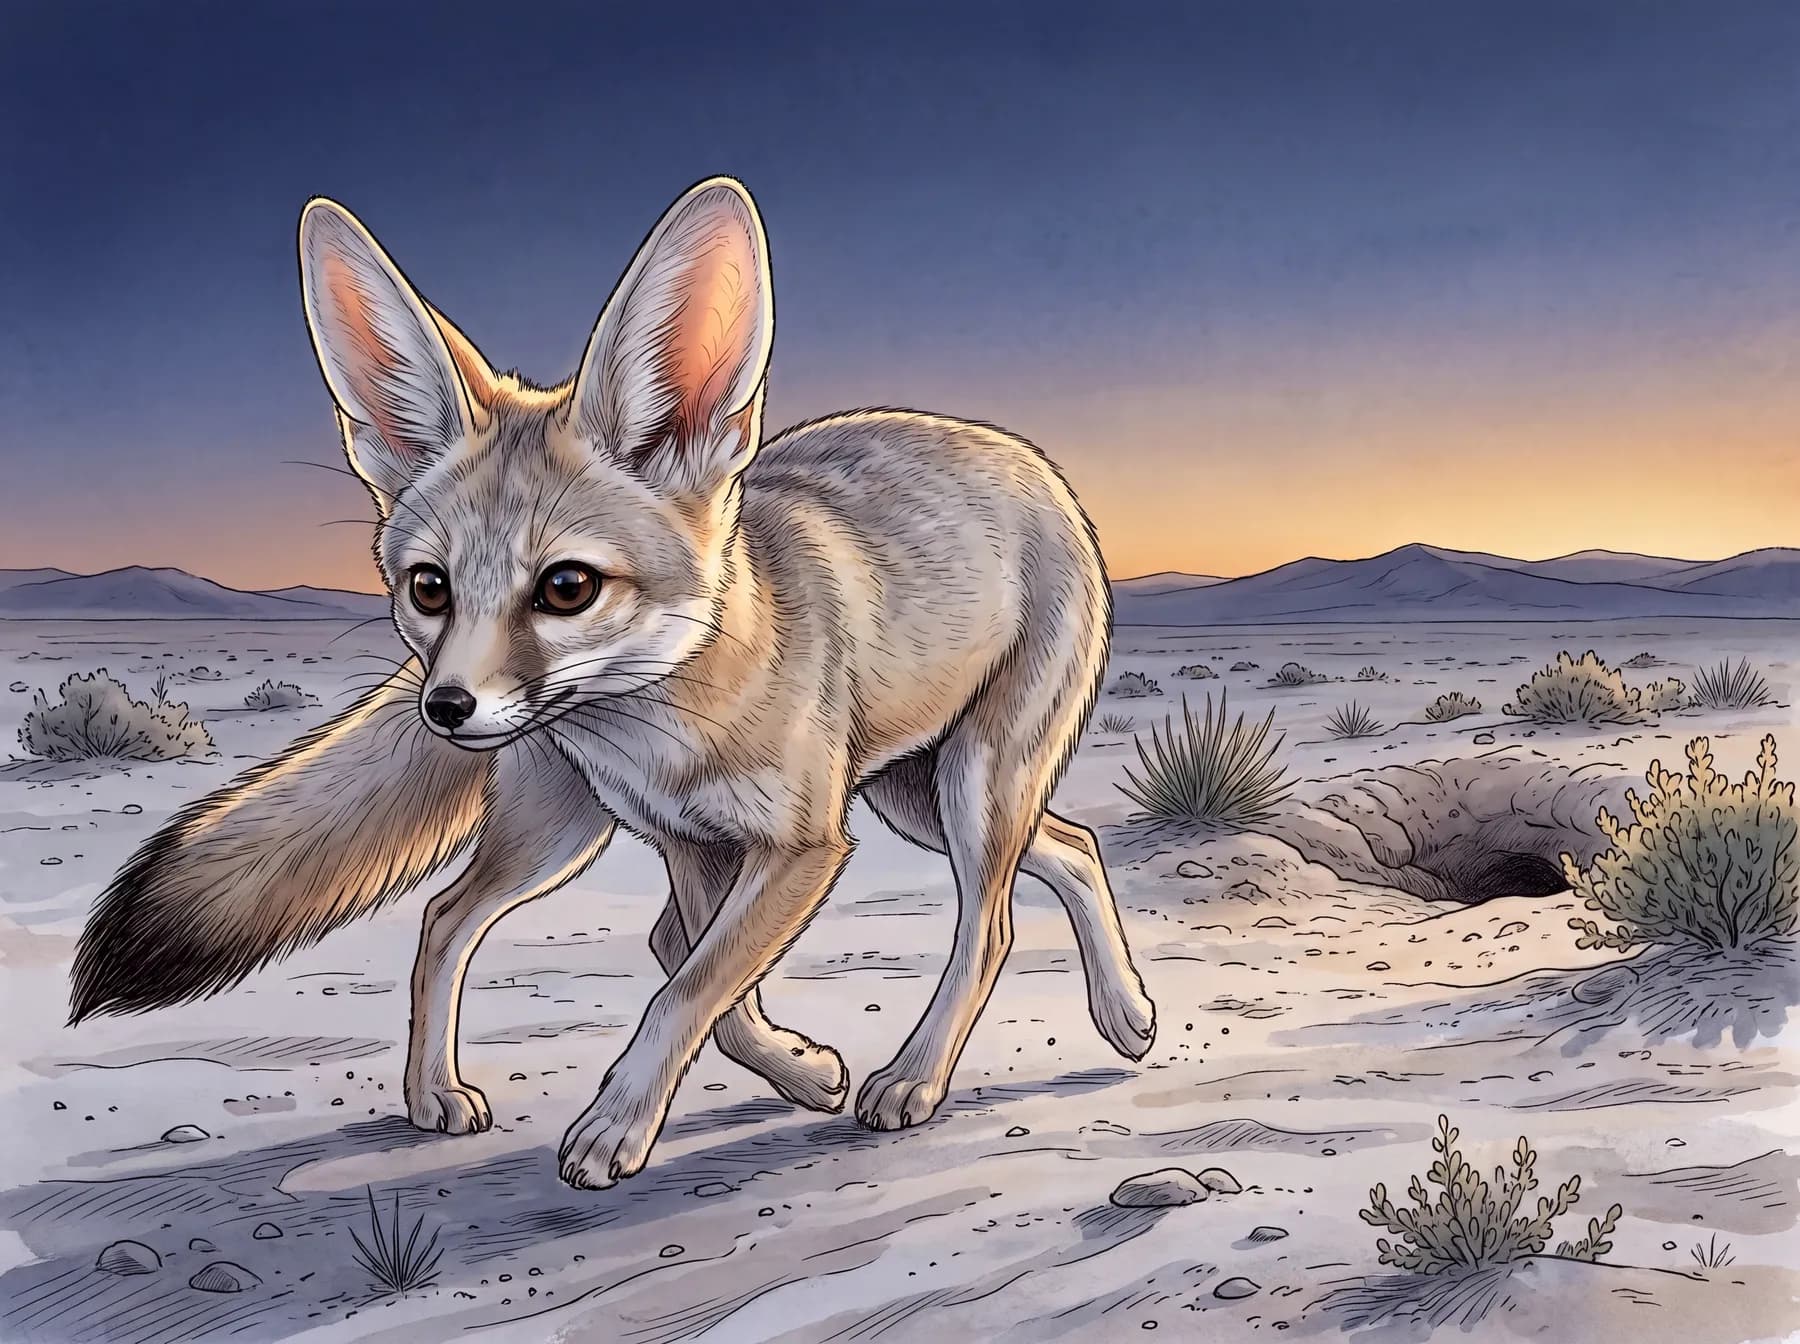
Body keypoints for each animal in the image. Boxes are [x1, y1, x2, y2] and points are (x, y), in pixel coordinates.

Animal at [68, 177, 1156, 1189]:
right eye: (429, 587)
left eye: (567, 587)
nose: (446, 707)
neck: (674, 724)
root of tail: (1016, 453)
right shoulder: (695, 843)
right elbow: (704, 980)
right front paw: (796, 1070)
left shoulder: (804, 846)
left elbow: (692, 986)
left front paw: (620, 1126)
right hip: (724, 812)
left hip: (962, 783)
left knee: (996, 916)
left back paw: (929, 1075)